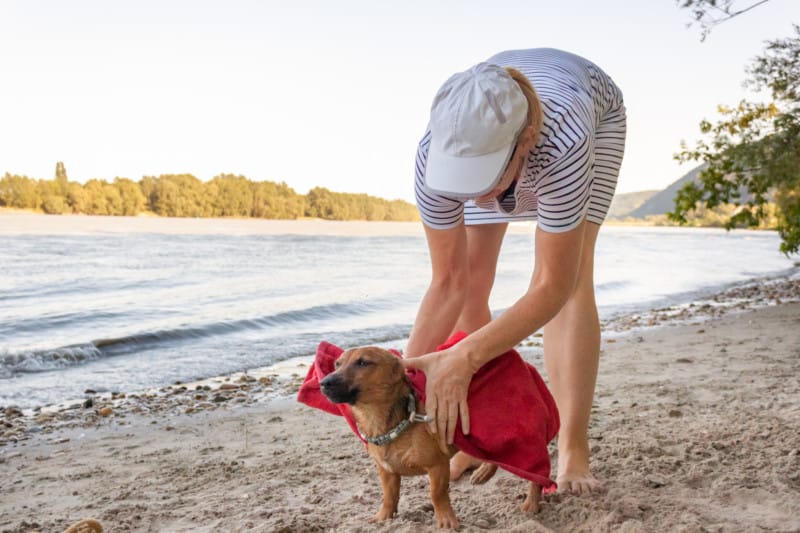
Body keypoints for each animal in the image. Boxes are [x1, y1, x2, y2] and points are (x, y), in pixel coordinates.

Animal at [322, 344, 540, 528]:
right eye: (337, 364)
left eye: (363, 362)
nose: (324, 383)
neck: (387, 424)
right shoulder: (387, 472)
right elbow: (389, 497)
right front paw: (383, 517)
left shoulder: (438, 466)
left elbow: (436, 494)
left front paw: (446, 520)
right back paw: (484, 471)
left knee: (535, 473)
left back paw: (531, 502)